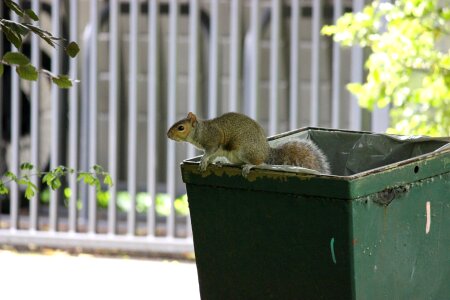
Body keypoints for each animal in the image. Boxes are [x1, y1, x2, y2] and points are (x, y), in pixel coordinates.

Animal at [167, 112, 332, 177]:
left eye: (181, 127)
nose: (168, 135)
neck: (200, 131)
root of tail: (266, 152)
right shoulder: (215, 149)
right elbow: (211, 156)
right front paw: (208, 162)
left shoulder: (213, 140)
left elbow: (209, 152)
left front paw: (202, 161)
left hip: (246, 151)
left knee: (260, 163)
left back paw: (249, 166)